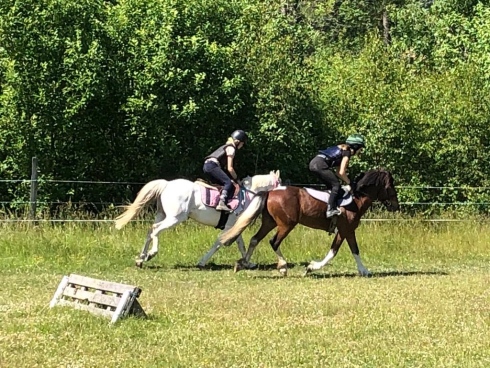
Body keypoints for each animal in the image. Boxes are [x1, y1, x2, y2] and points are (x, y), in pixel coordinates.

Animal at [114, 170, 280, 268]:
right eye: (280, 182)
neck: (248, 195)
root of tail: (167, 184)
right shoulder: (229, 227)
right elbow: (218, 243)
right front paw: (202, 262)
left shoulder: (234, 226)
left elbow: (240, 244)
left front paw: (248, 263)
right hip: (175, 218)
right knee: (156, 230)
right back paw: (151, 254)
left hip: (163, 215)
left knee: (150, 231)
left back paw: (140, 259)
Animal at [218, 170, 398, 276]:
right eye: (390, 186)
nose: (396, 205)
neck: (356, 200)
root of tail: (270, 192)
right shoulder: (345, 229)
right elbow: (335, 251)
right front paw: (312, 267)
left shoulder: (346, 231)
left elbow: (352, 250)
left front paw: (364, 271)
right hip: (286, 224)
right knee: (273, 242)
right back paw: (282, 266)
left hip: (270, 223)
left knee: (255, 239)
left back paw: (242, 263)